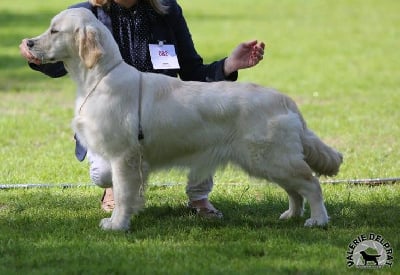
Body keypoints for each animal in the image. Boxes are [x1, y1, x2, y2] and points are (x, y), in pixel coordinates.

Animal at [25, 8, 344, 231]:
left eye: (54, 30)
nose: (27, 42)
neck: (99, 77)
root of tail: (285, 100)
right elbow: (122, 187)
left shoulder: (123, 156)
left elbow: (124, 193)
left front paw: (117, 225)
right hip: (270, 161)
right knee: (295, 190)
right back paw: (291, 214)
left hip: (272, 158)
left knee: (311, 184)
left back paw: (317, 220)